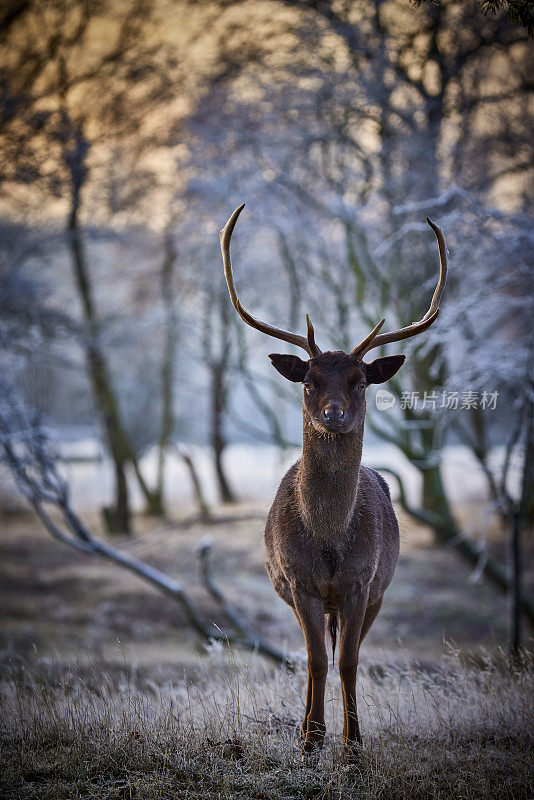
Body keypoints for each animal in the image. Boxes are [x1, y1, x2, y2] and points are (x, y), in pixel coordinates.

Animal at [218, 206, 448, 756]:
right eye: (308, 381)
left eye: (360, 381)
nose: (334, 414)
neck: (326, 541)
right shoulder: (298, 581)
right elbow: (318, 660)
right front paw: (311, 740)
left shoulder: (361, 583)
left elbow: (348, 660)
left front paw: (353, 745)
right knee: (313, 654)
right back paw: (306, 728)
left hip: (375, 592)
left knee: (343, 647)